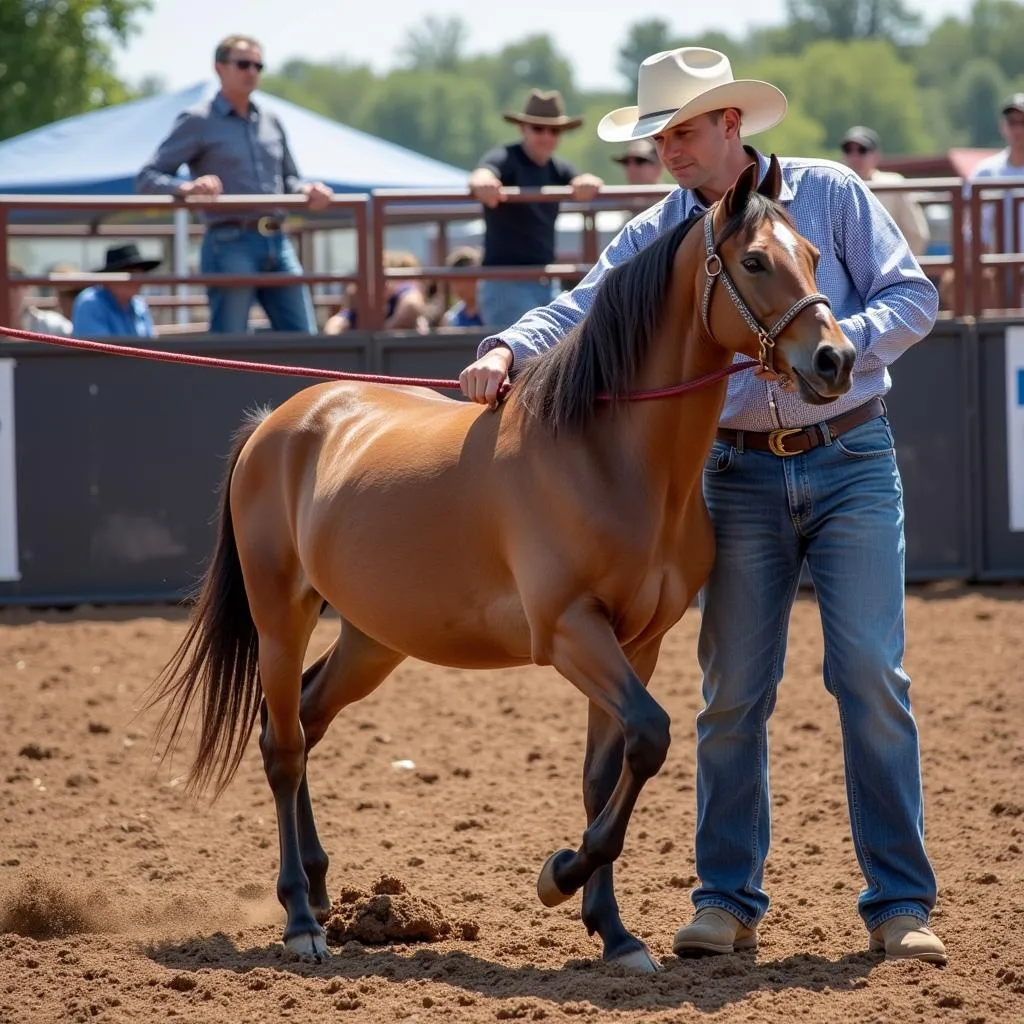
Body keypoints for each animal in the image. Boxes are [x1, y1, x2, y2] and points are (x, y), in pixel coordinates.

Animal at [148, 155, 856, 970]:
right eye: (755, 261)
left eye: (814, 255)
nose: (837, 359)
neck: (610, 456)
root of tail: (279, 424)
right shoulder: (571, 632)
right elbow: (651, 735)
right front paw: (560, 875)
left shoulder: (637, 644)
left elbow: (611, 771)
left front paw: (614, 933)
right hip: (280, 616)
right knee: (283, 745)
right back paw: (300, 919)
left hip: (372, 638)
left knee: (307, 715)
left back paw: (323, 893)